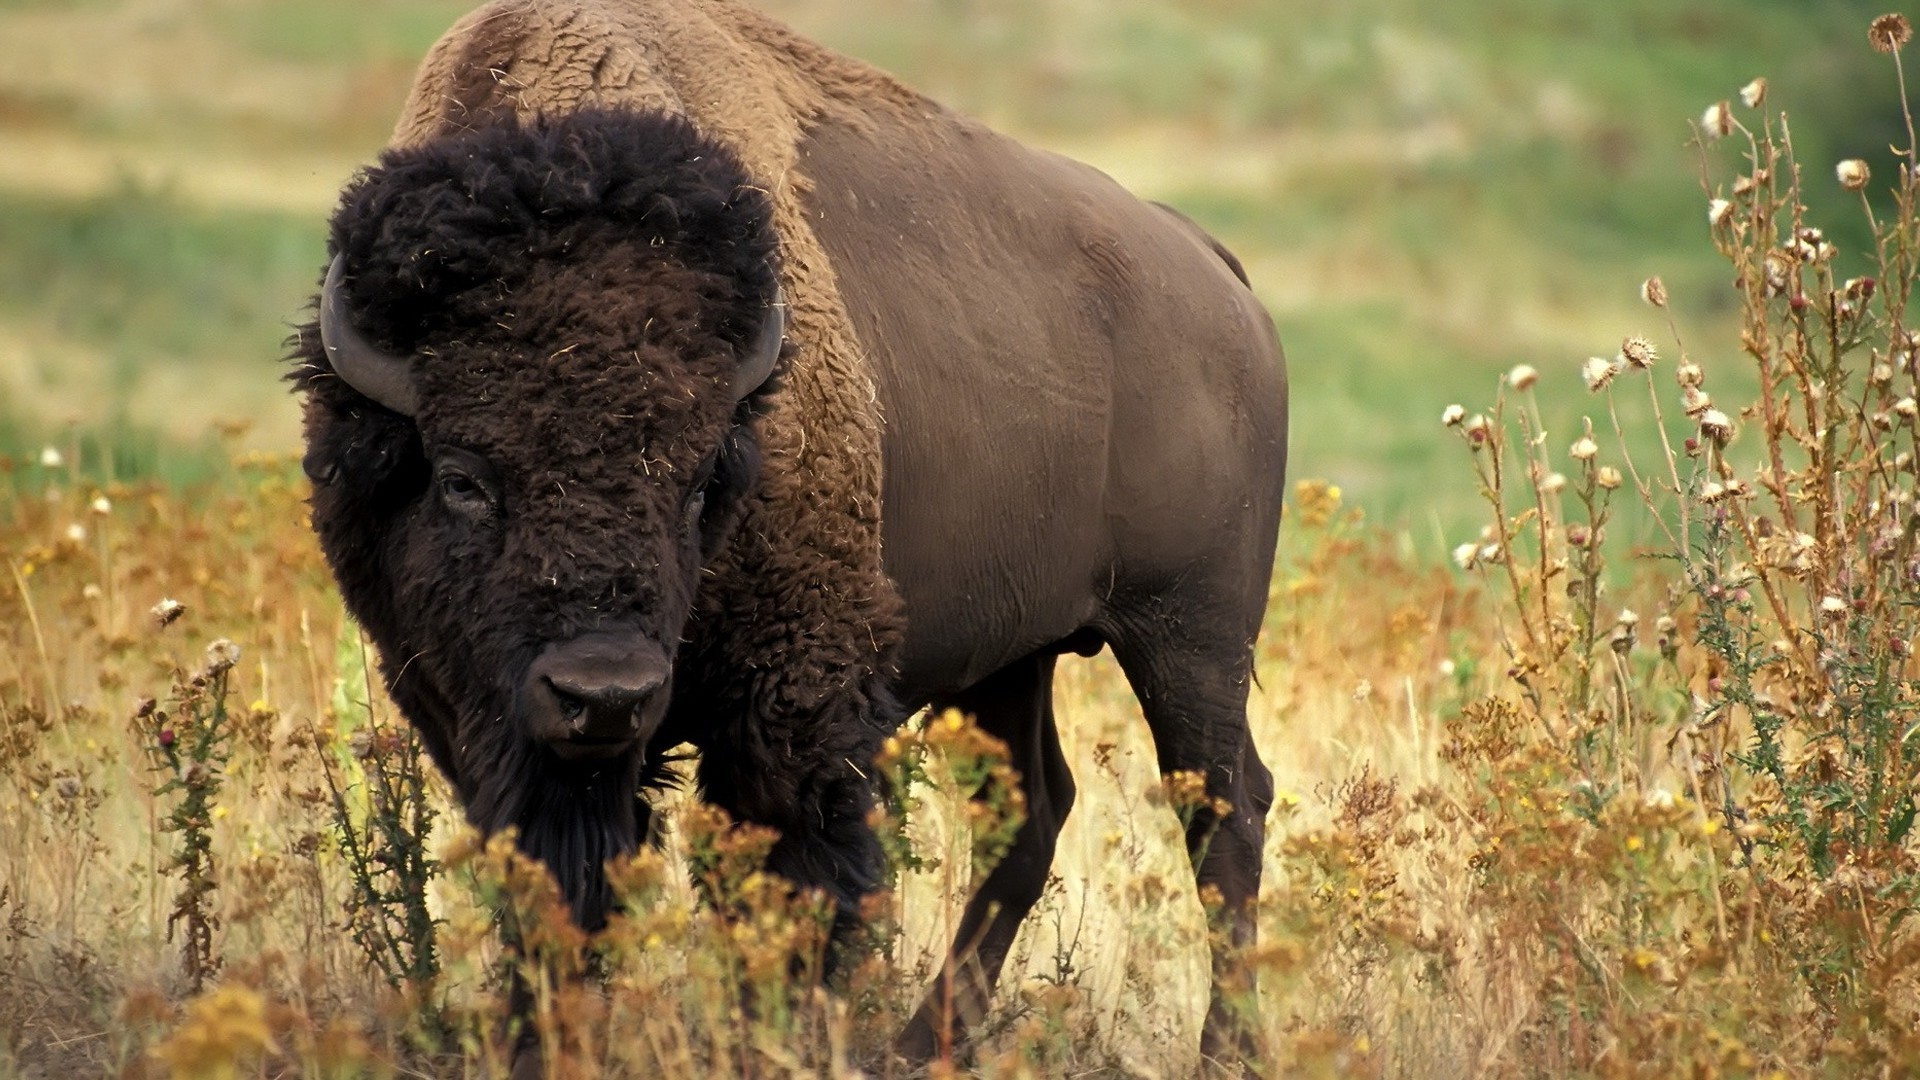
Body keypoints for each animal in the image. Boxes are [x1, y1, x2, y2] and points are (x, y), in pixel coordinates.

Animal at [291, 0, 1290, 1060]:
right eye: (462, 480)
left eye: (701, 482)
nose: (604, 695)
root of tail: (1212, 271)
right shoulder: (475, 715)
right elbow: (555, 885)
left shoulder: (794, 699)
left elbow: (791, 880)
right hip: (1014, 655)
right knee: (1034, 809)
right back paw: (920, 1046)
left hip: (1191, 636)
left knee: (1223, 806)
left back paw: (1223, 1049)